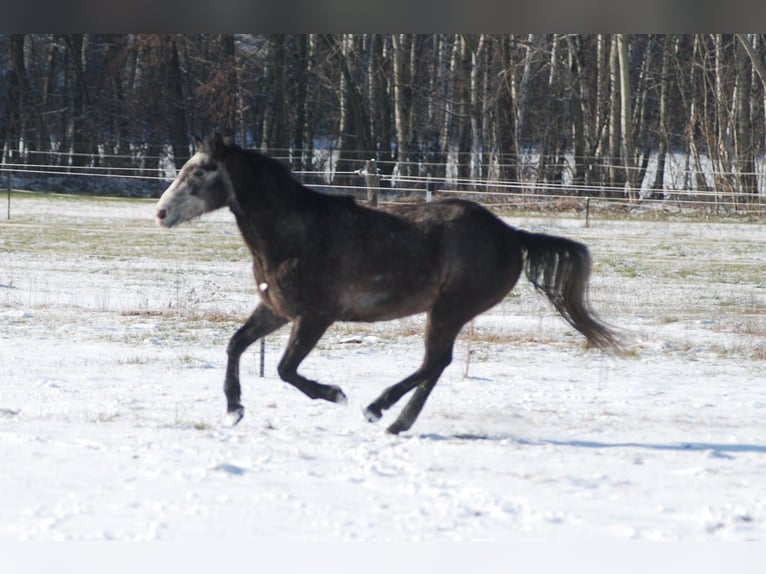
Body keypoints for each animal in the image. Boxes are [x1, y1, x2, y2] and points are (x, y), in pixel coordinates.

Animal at [156, 136, 624, 436]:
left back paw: (377, 410)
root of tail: (512, 234)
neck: (294, 234)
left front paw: (335, 395)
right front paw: (233, 410)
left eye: (200, 171)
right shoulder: (277, 310)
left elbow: (286, 369)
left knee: (435, 363)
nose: (161, 213)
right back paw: (396, 422)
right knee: (436, 365)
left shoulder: (315, 316)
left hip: (451, 309)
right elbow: (236, 344)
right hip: (447, 312)